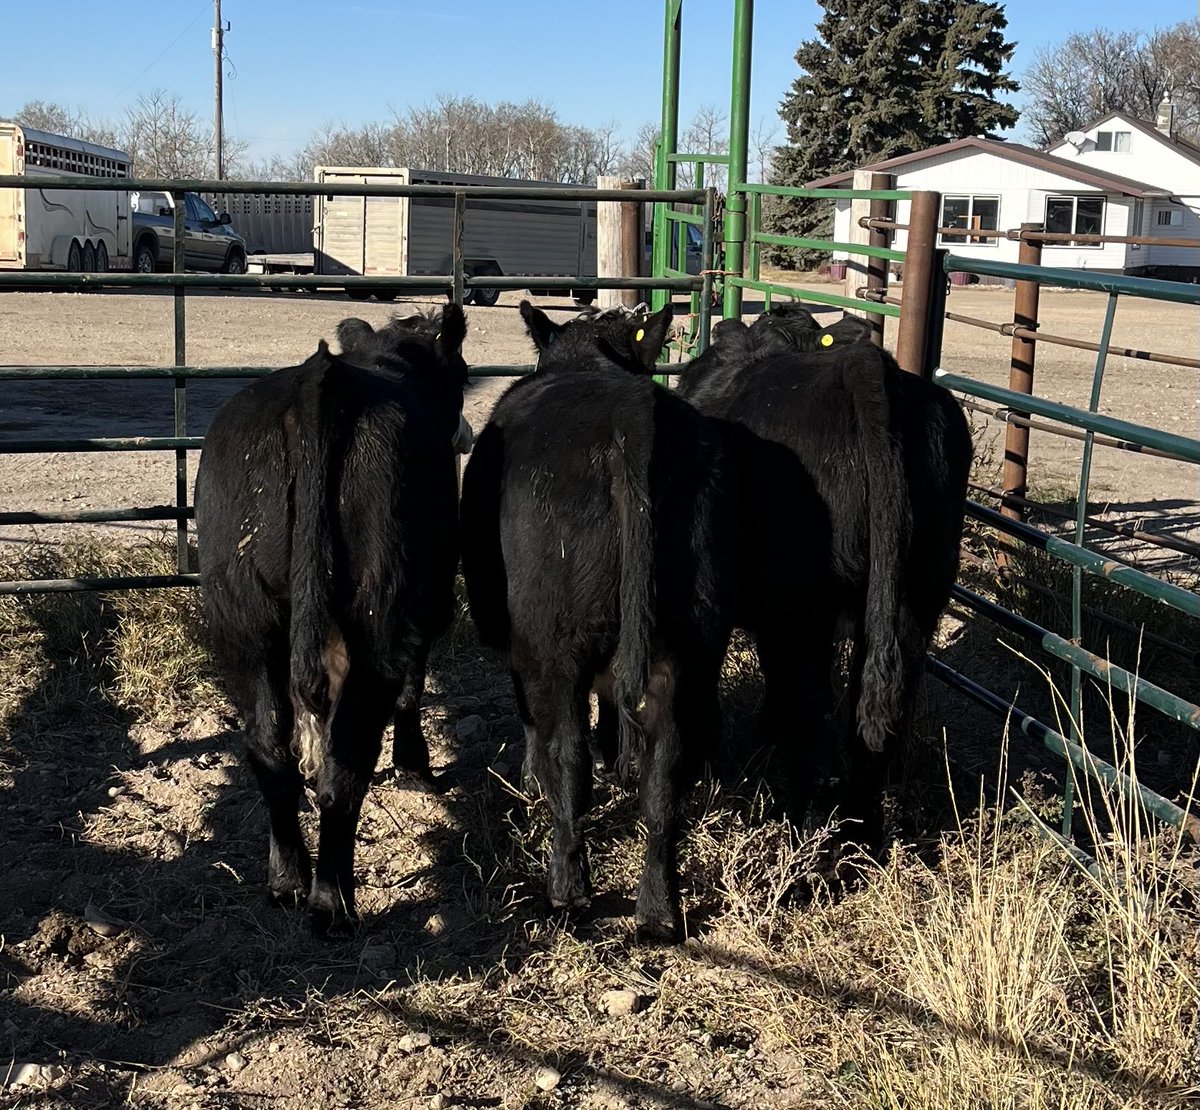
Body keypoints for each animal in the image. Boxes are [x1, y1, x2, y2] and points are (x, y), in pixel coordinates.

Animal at [194, 305, 470, 934]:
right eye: (464, 375)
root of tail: (319, 382)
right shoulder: (431, 599)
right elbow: (412, 687)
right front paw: (416, 766)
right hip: (381, 609)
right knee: (345, 765)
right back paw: (331, 904)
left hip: (244, 615)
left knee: (270, 750)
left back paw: (287, 880)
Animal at [460, 301, 737, 942]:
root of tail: (627, 425)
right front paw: (617, 759)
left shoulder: (523, 651)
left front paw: (530, 775)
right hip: (688, 647)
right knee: (665, 775)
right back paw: (658, 911)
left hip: (554, 643)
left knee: (568, 759)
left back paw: (568, 889)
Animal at [675, 303, 972, 841]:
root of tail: (866, 367)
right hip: (918, 596)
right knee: (871, 718)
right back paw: (862, 835)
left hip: (800, 608)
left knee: (809, 710)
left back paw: (801, 824)